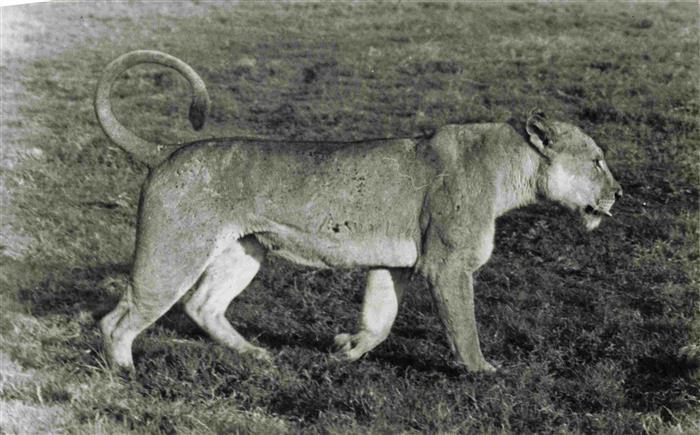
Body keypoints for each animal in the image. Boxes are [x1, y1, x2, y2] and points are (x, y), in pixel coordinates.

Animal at [96, 50, 622, 372]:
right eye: (597, 160)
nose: (618, 192)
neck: (509, 167)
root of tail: (165, 150)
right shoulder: (447, 266)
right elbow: (464, 328)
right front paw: (483, 371)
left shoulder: (396, 264)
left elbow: (380, 319)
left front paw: (346, 349)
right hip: (174, 252)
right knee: (119, 318)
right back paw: (126, 371)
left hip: (243, 252)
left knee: (202, 305)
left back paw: (256, 355)